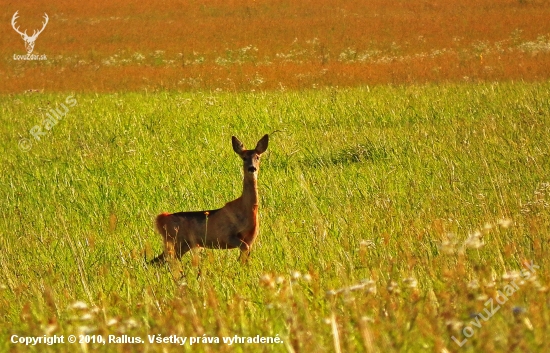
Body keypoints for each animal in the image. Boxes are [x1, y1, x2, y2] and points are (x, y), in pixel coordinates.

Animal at [150, 134, 270, 264]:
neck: (248, 210)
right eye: (244, 158)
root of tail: (161, 218)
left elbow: (245, 256)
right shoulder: (226, 234)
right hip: (176, 241)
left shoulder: (250, 239)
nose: (252, 168)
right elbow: (244, 249)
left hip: (183, 244)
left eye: (257, 157)